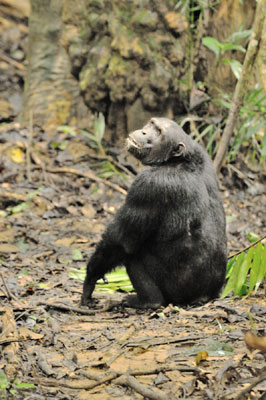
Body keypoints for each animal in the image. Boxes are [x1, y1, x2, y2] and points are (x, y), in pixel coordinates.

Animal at [81, 117, 227, 308]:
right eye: (151, 124)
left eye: (159, 132)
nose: (144, 132)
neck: (179, 161)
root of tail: (203, 297)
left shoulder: (148, 186)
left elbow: (119, 241)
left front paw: (90, 280)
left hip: (175, 291)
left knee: (133, 256)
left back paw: (148, 302)